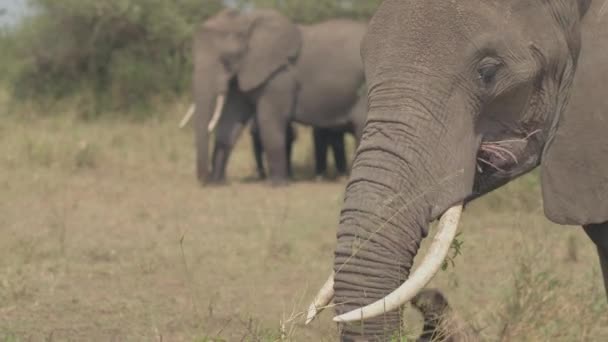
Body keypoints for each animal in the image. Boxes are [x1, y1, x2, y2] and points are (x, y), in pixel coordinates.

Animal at [185, 8, 366, 184]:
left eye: (226, 59)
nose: (204, 179)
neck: (246, 22)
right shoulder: (245, 71)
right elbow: (230, 121)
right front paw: (218, 183)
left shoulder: (279, 77)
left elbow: (270, 121)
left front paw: (278, 184)